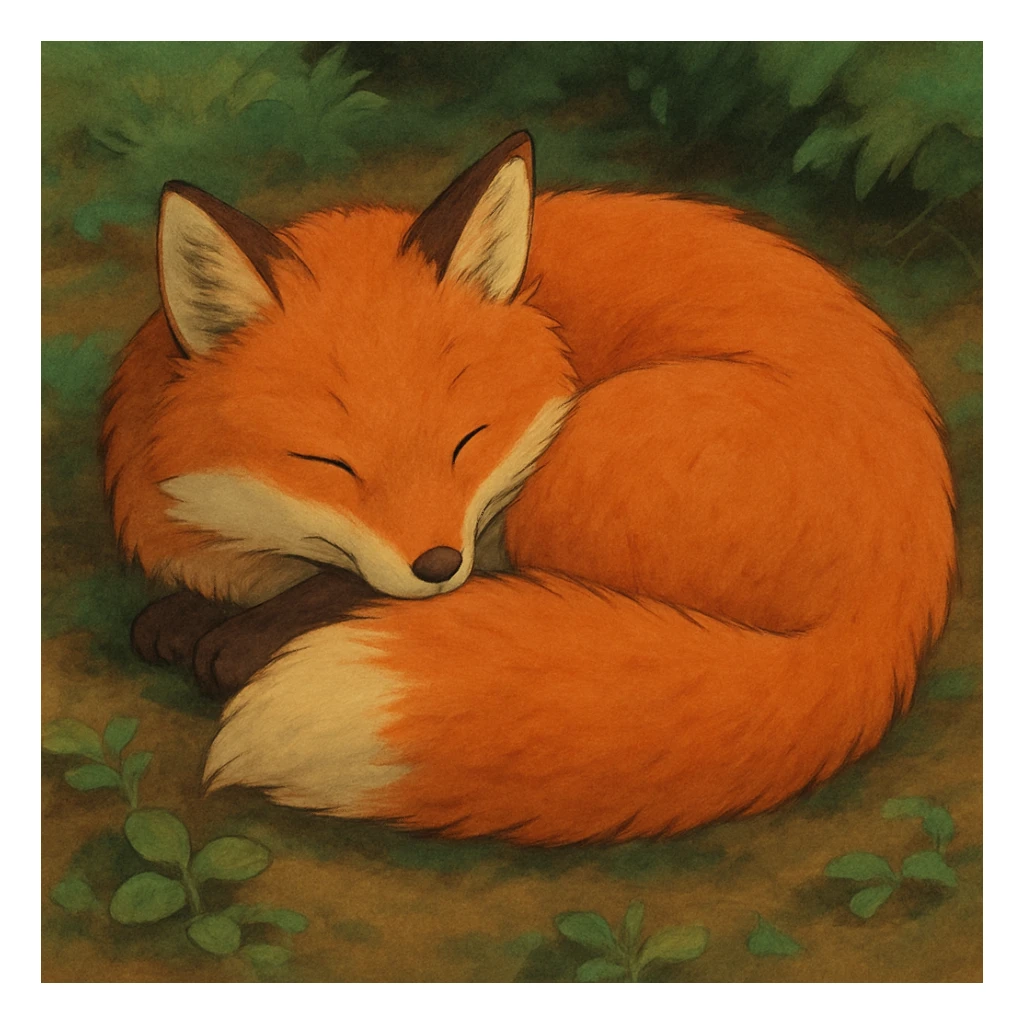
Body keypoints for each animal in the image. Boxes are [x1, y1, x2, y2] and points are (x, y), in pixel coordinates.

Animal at [101, 130, 956, 845]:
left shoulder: (488, 524)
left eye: (467, 443)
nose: (436, 565)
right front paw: (194, 613)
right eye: (330, 466)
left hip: (589, 451)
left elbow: (351, 589)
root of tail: (902, 603)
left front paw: (242, 633)